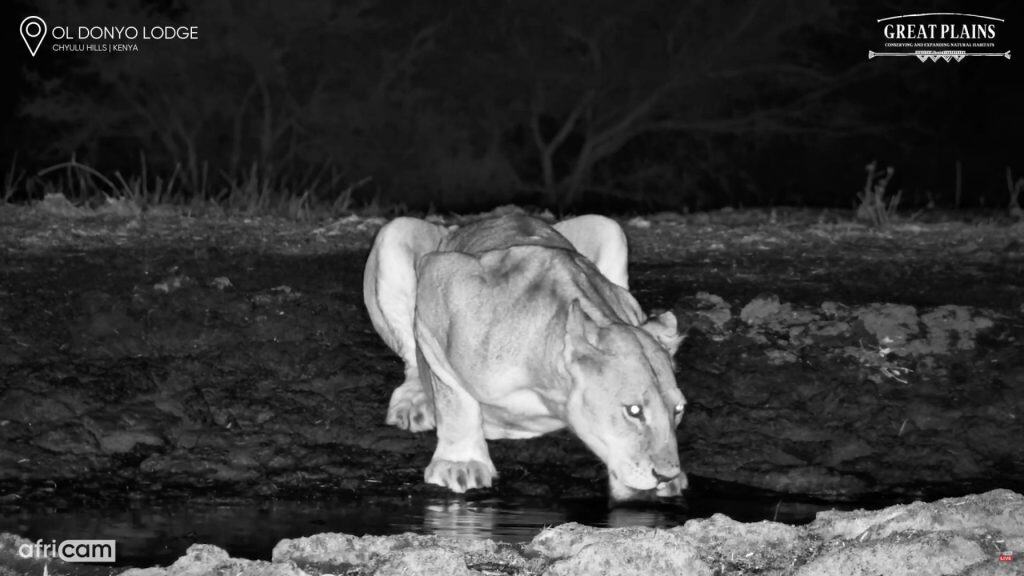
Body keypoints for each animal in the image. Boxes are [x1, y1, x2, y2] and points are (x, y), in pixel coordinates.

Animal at [363, 213, 686, 501]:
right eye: (634, 410)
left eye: (679, 410)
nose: (666, 475)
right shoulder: (439, 279)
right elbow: (454, 397)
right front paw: (460, 463)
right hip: (394, 232)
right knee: (411, 359)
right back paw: (414, 404)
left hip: (609, 227)